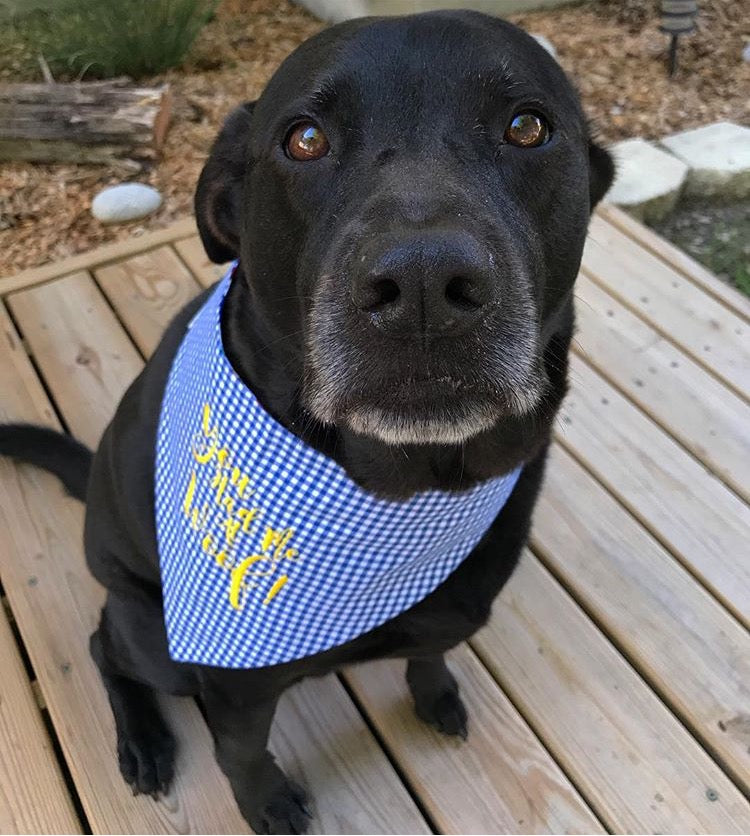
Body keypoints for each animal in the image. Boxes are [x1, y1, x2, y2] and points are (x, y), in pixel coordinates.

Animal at [0, 9, 612, 832]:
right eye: (306, 139)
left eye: (527, 126)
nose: (423, 285)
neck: (407, 487)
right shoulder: (235, 681)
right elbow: (241, 752)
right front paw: (265, 802)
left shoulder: (456, 606)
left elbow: (430, 651)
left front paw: (434, 693)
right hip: (154, 635)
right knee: (103, 646)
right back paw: (144, 741)